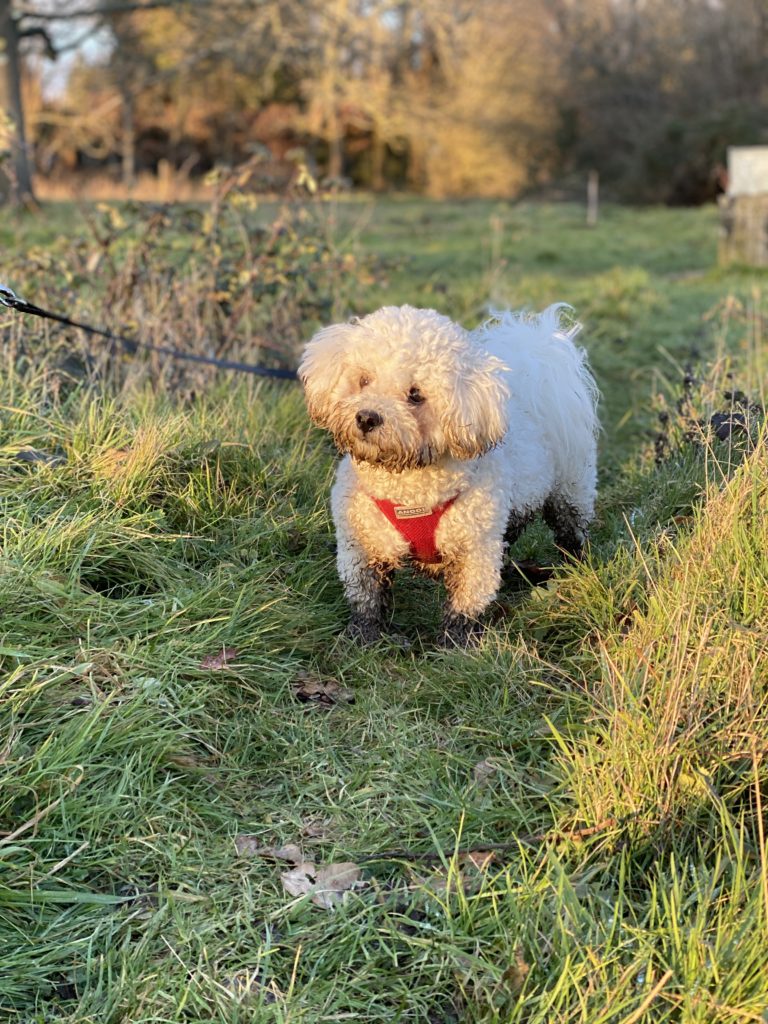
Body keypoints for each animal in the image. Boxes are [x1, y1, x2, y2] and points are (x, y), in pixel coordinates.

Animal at [301, 299, 602, 643]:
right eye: (364, 380)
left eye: (415, 395)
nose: (367, 418)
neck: (407, 488)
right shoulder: (361, 544)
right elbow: (366, 596)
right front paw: (364, 637)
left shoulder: (475, 550)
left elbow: (465, 605)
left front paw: (455, 645)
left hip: (570, 491)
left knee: (571, 533)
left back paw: (574, 568)